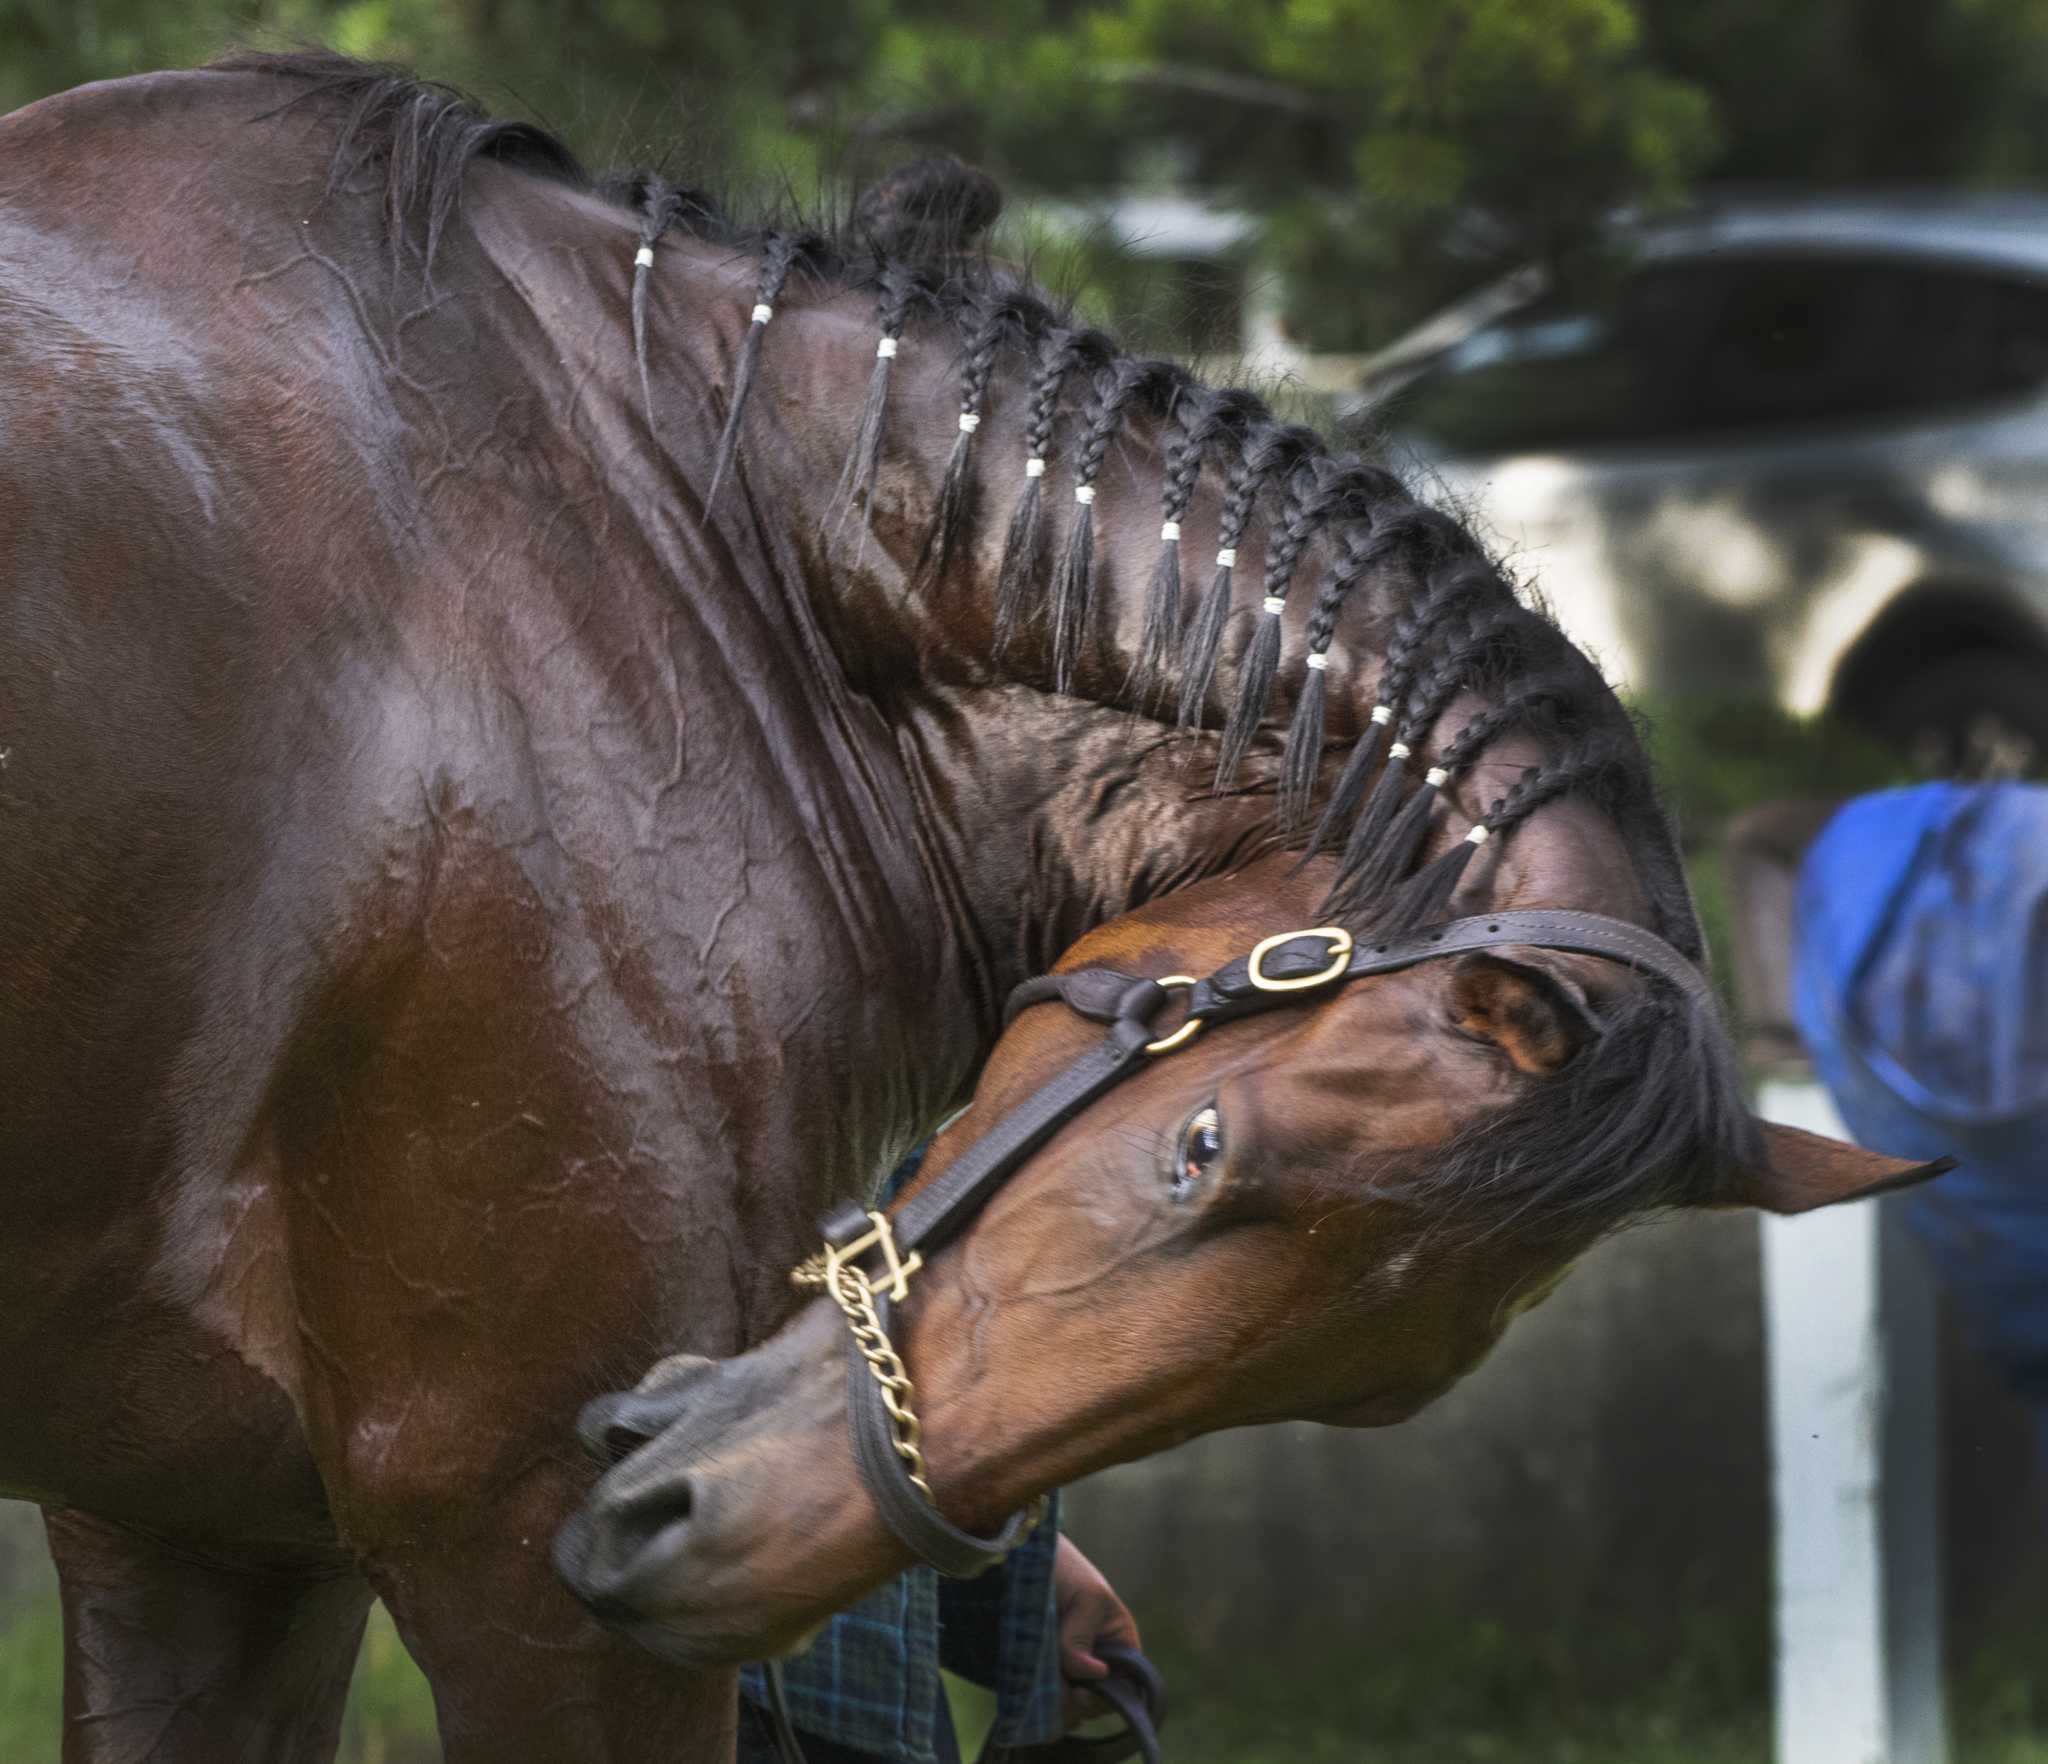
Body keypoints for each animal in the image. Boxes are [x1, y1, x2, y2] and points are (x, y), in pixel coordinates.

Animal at [0, 51, 1941, 1761]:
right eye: (1199, 1151)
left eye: (1376, 1385)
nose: (692, 1542)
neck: (684, 535)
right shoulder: (495, 1512)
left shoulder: (199, 1533)